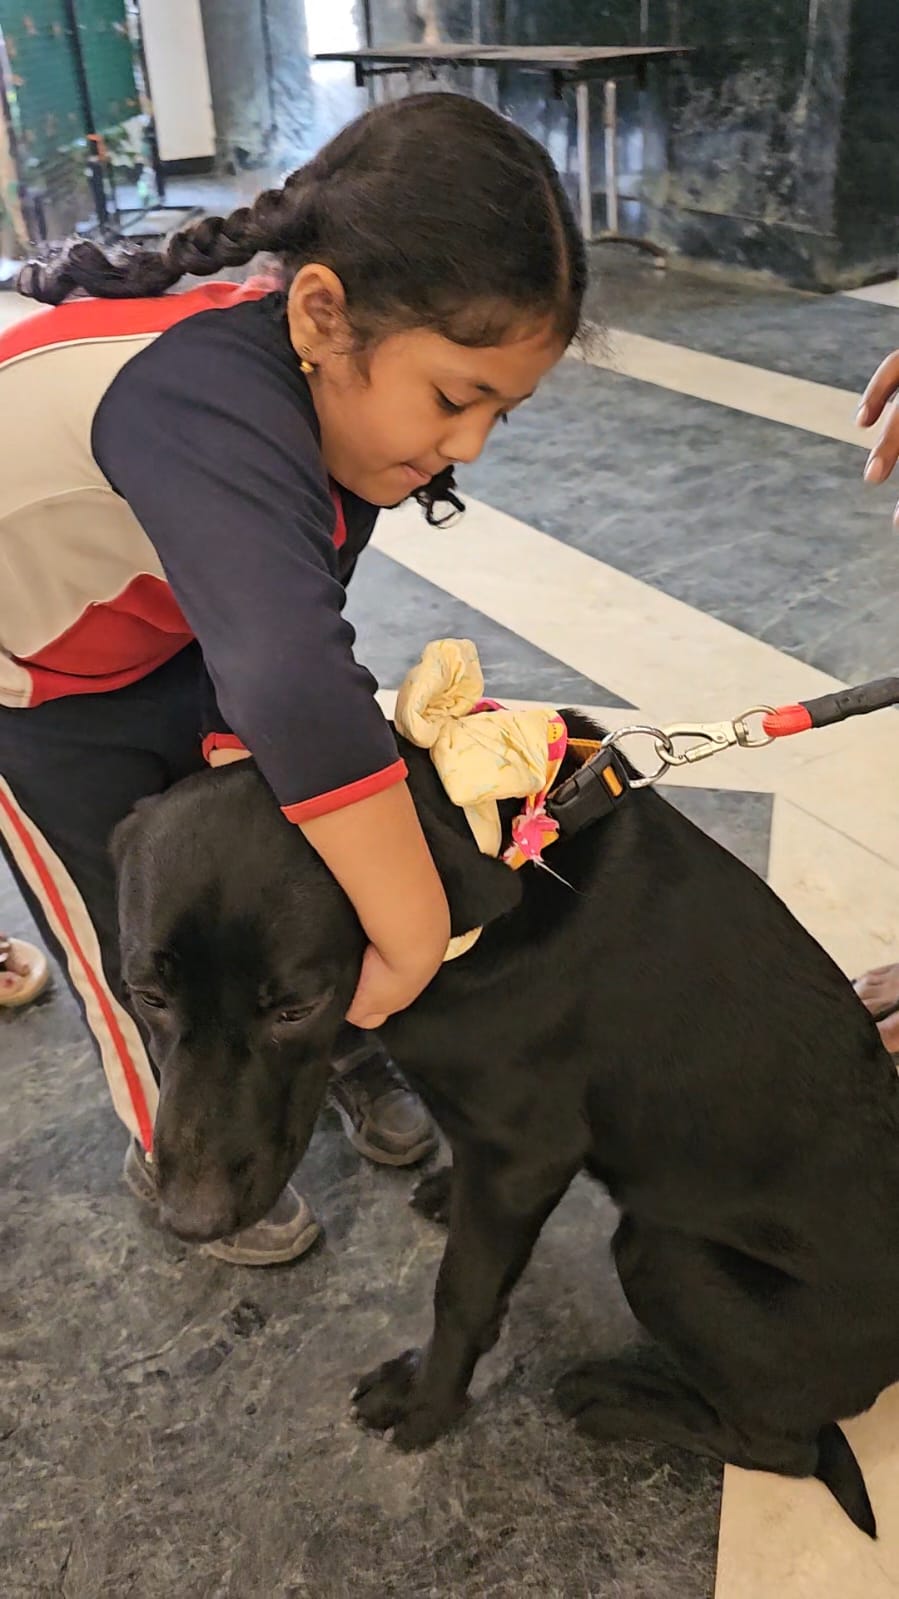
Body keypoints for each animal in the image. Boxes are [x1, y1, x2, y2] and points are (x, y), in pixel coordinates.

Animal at [113, 712, 899, 1536]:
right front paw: (447, 1196)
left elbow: (460, 1293)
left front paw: (426, 1401)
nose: (191, 1218)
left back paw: (613, 1398)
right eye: (146, 994)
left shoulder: (524, 1156)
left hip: (665, 1254)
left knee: (785, 1446)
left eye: (296, 1008)